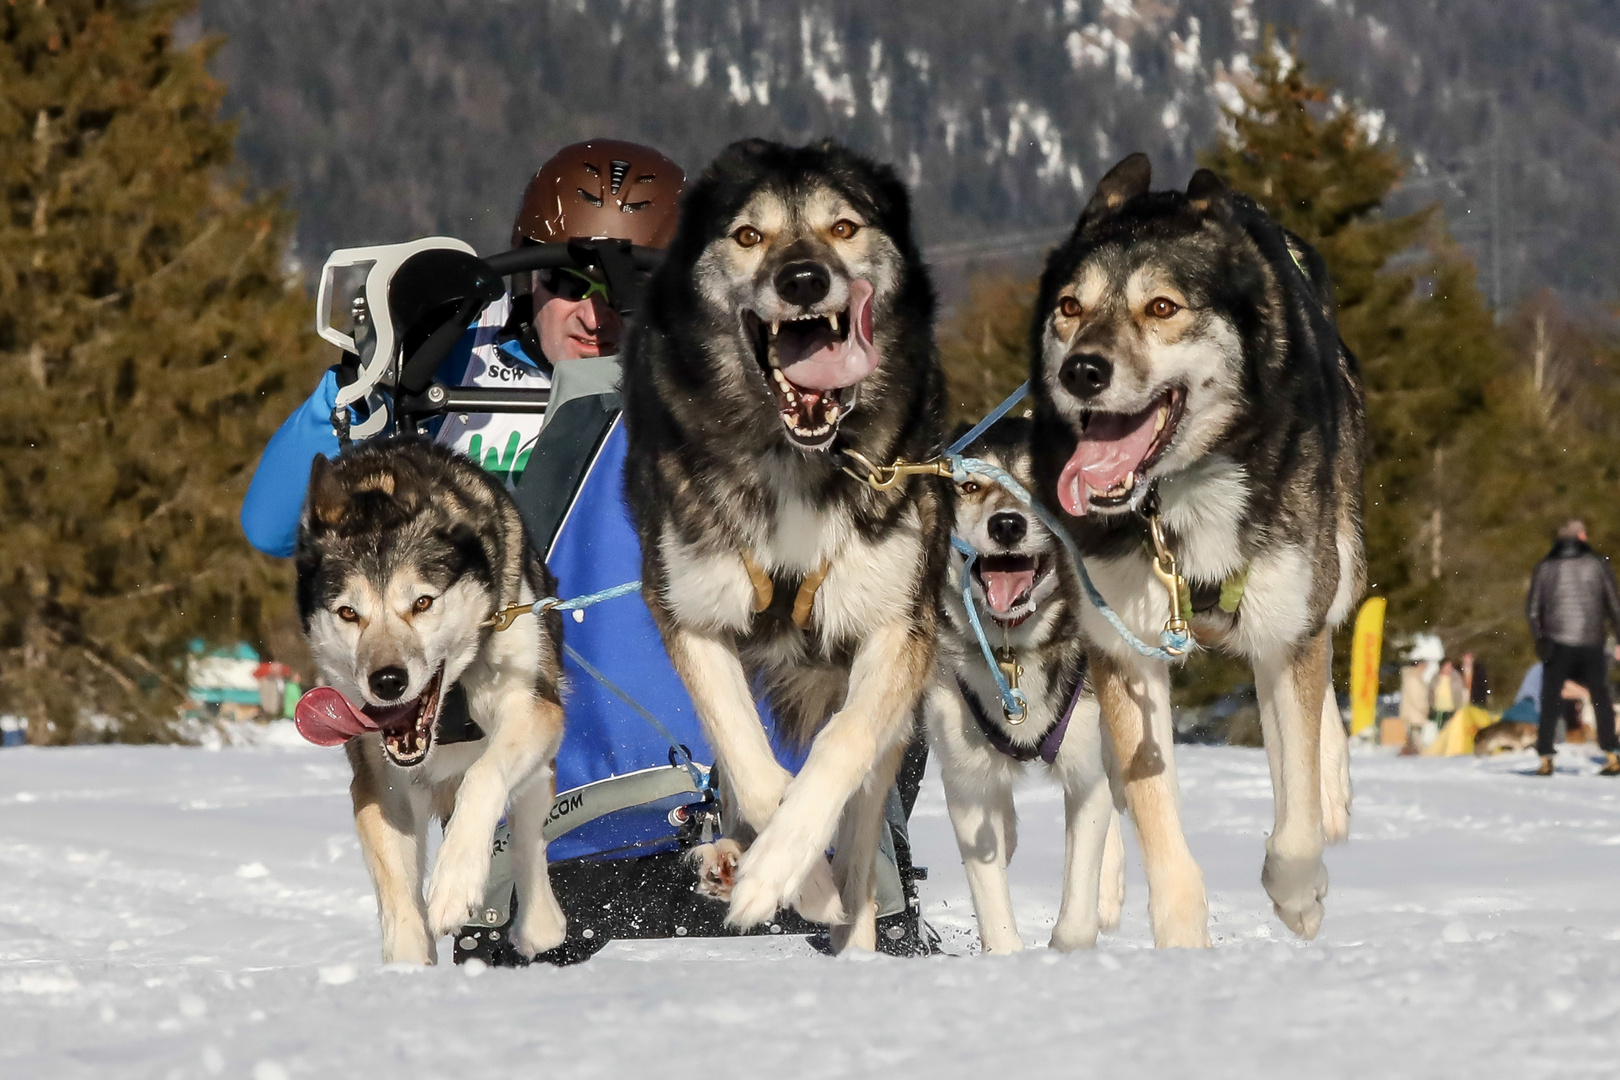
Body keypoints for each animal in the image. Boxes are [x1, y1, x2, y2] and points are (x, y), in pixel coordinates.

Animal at [294, 440, 567, 965]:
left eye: (422, 602)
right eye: (348, 612)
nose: (386, 681)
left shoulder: (532, 705)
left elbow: (484, 778)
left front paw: (454, 883)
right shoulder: (380, 784)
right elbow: (399, 893)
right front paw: (408, 966)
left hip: (539, 761)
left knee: (527, 830)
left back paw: (538, 924)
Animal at [618, 137, 946, 952]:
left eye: (844, 226)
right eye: (747, 235)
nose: (803, 279)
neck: (795, 456)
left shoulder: (896, 627)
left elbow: (840, 751)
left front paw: (803, 869)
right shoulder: (692, 617)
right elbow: (752, 762)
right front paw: (790, 880)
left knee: (866, 825)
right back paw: (733, 857)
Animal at [933, 417, 1134, 952]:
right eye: (970, 486)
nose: (1007, 525)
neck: (1013, 649)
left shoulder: (1087, 765)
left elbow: (1077, 914)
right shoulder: (966, 784)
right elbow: (991, 896)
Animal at [1030, 153, 1360, 945]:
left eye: (1162, 308)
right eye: (1069, 307)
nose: (1081, 370)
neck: (1180, 493)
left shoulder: (1285, 631)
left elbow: (1295, 818)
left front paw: (1299, 894)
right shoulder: (1125, 647)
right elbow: (1157, 827)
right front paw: (1183, 950)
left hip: (1335, 555)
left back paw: (1333, 786)